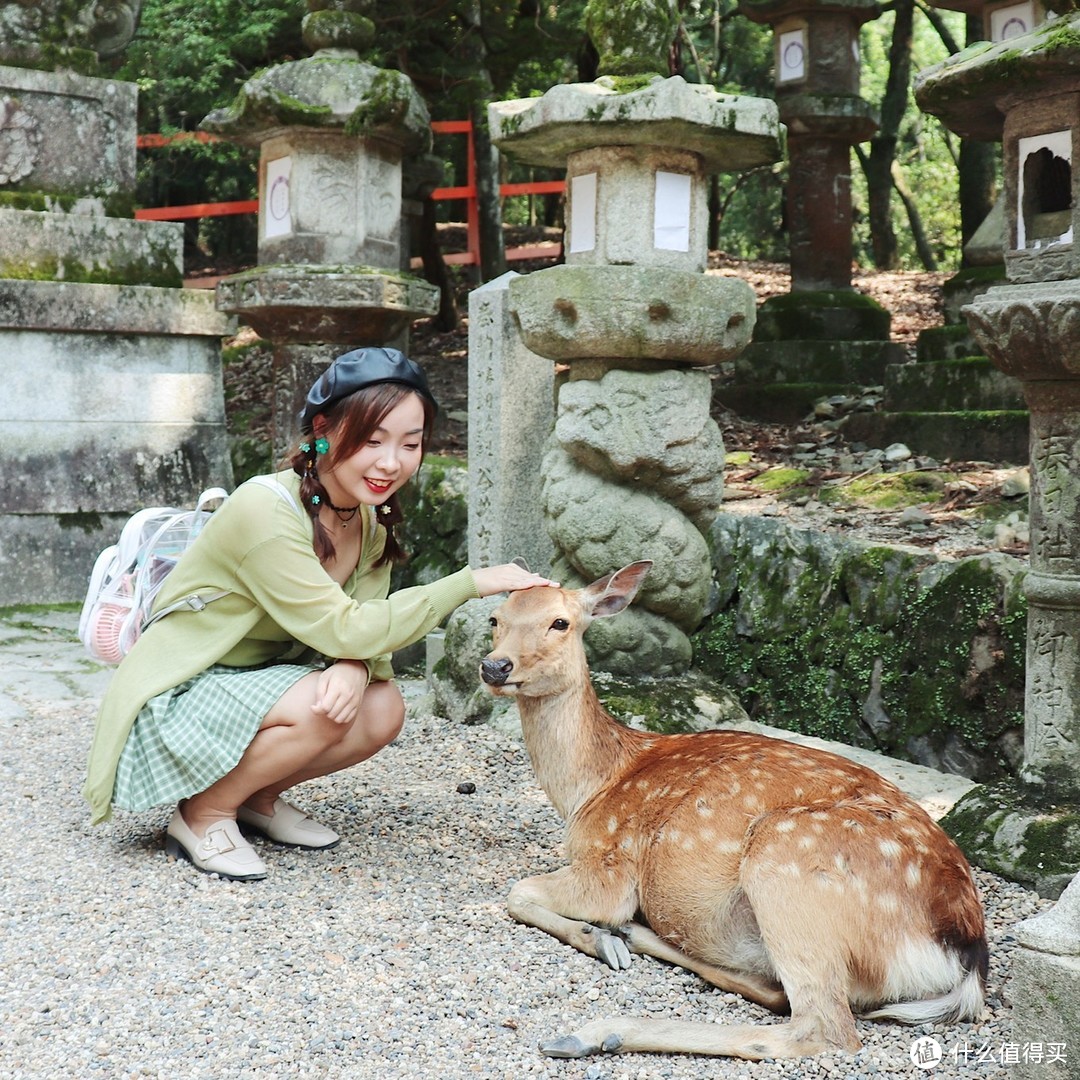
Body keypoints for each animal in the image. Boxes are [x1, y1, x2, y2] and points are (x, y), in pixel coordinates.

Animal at [481, 565, 989, 1062]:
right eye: (496, 618)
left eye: (560, 622)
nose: (494, 666)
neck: (590, 789)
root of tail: (965, 953)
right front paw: (605, 936)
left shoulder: (609, 864)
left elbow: (517, 892)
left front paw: (597, 936)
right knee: (777, 991)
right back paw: (632, 939)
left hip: (786, 863)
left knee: (822, 1026)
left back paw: (594, 1029)